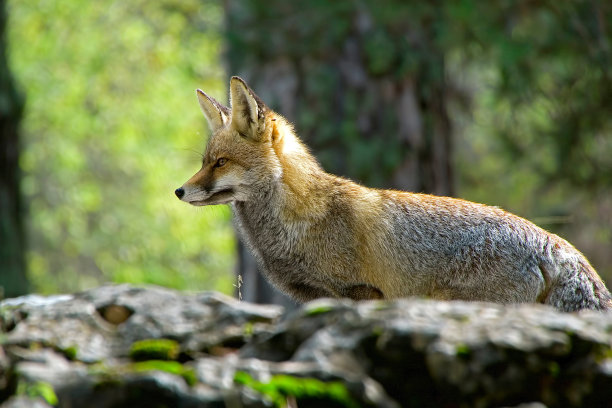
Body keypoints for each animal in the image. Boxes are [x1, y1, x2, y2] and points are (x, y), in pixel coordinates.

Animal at [175, 75, 608, 312]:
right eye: (205, 161)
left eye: (221, 163)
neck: (304, 221)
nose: (179, 191)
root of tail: (555, 244)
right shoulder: (317, 299)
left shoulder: (362, 294)